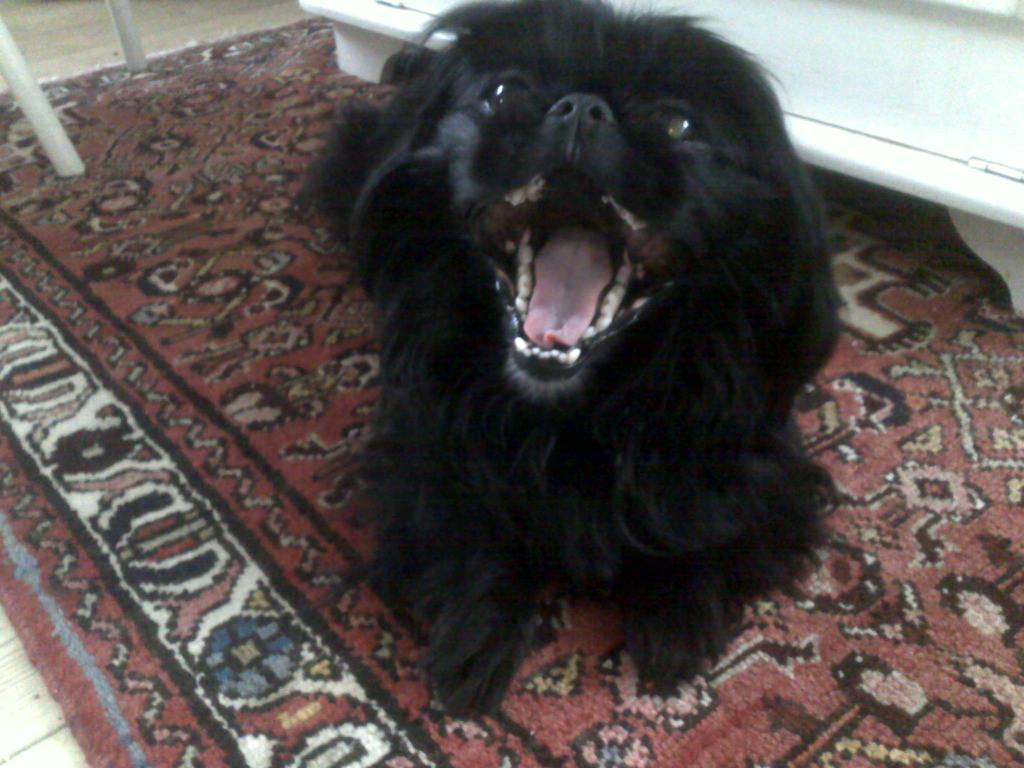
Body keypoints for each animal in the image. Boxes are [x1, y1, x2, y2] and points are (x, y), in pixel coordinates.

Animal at [305, 0, 840, 714]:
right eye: (504, 92)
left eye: (678, 124)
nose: (581, 108)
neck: (571, 412)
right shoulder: (417, 450)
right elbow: (469, 525)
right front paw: (477, 638)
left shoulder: (759, 465)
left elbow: (701, 517)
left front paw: (675, 612)